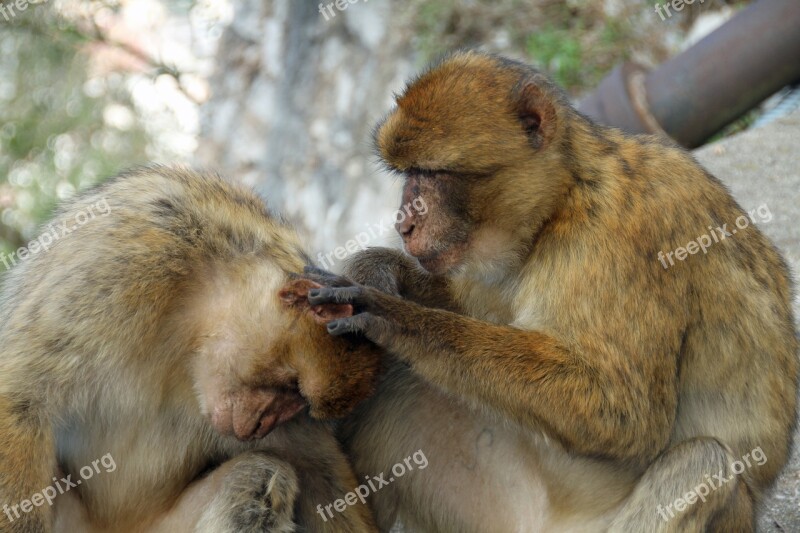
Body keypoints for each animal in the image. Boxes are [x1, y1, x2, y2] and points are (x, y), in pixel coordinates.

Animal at [0, 167, 380, 532]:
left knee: (261, 475)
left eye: (298, 403)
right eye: (290, 387)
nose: (258, 426)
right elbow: (22, 399)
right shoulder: (122, 265)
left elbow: (316, 467)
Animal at [304, 51, 796, 532]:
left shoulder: (621, 236)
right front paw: (376, 268)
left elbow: (623, 412)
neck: (565, 197)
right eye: (408, 173)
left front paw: (393, 316)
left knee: (703, 464)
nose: (403, 224)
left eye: (432, 172)